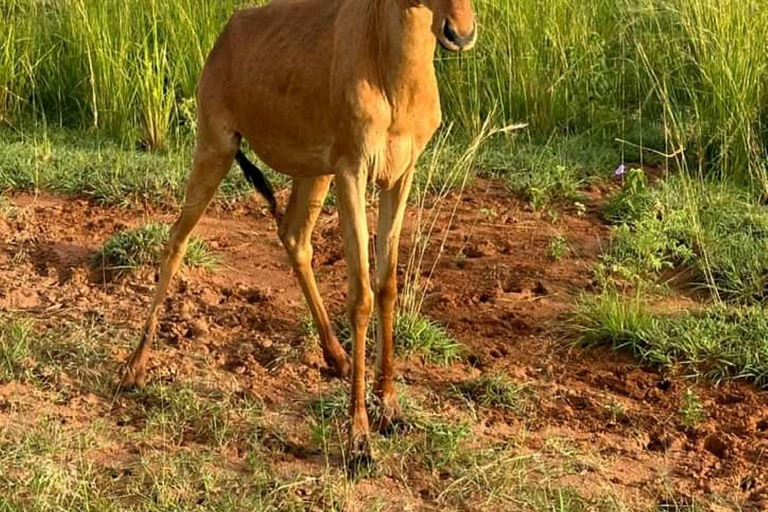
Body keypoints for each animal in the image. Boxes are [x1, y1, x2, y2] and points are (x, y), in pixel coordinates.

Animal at [121, 0, 474, 468]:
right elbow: (360, 296)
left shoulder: (399, 177)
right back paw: (134, 369)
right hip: (217, 147)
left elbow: (387, 286)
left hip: (313, 173)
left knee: (293, 236)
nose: (460, 33)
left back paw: (338, 358)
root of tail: (230, 31)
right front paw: (359, 440)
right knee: (177, 239)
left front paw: (391, 409)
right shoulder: (352, 172)